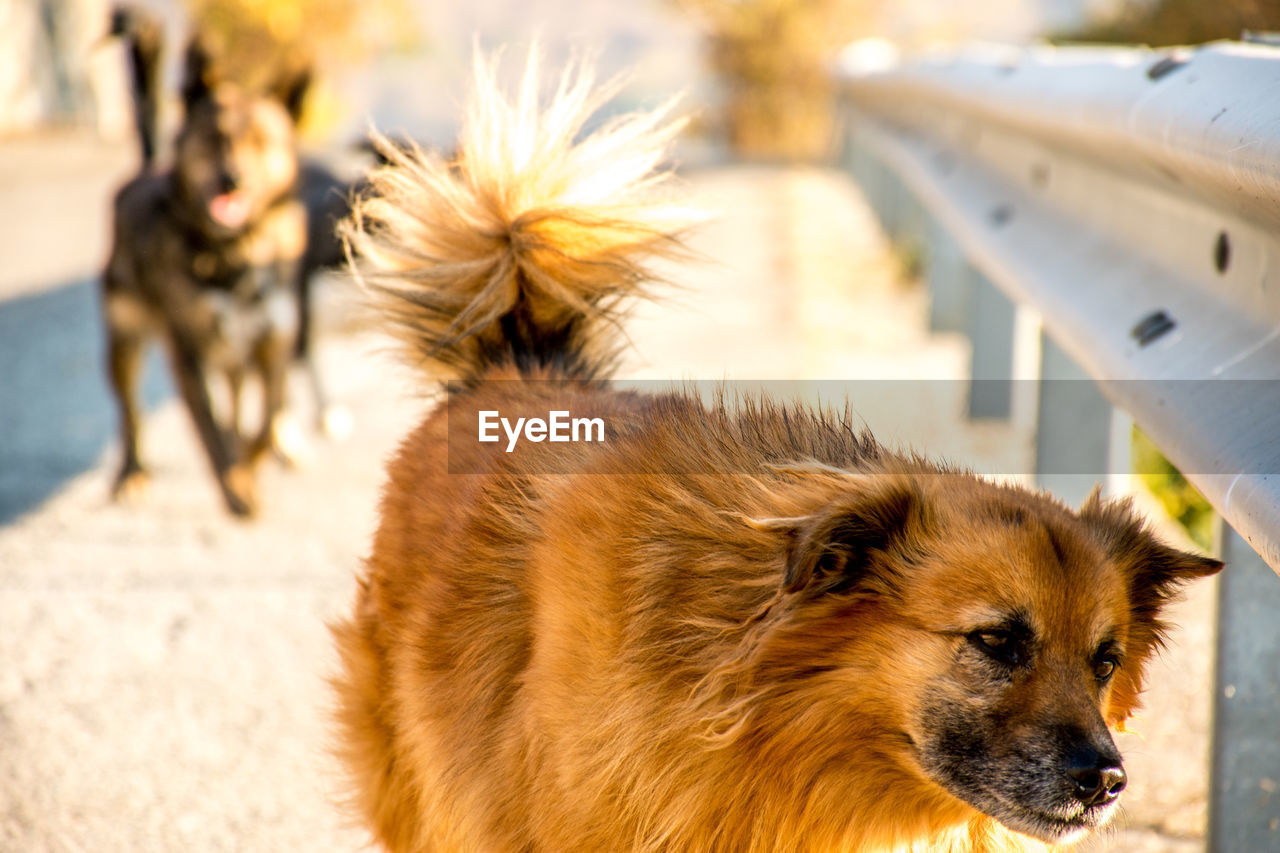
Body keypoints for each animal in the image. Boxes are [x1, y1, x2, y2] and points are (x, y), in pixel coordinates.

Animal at [102, 9, 307, 514]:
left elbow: (266, 418)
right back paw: (131, 473)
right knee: (130, 412)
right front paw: (235, 490)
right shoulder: (187, 349)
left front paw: (251, 464)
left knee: (242, 404)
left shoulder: (274, 339)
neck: (234, 251)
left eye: (261, 141)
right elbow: (210, 432)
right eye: (215, 138)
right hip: (125, 335)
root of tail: (145, 170)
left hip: (235, 358)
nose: (232, 179)